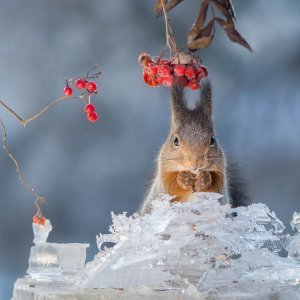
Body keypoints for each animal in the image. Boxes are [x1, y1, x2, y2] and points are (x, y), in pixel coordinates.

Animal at [139, 81, 250, 214]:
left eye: (212, 140)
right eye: (175, 140)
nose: (196, 163)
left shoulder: (221, 174)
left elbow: (216, 186)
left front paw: (205, 179)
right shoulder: (163, 176)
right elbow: (170, 185)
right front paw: (183, 178)